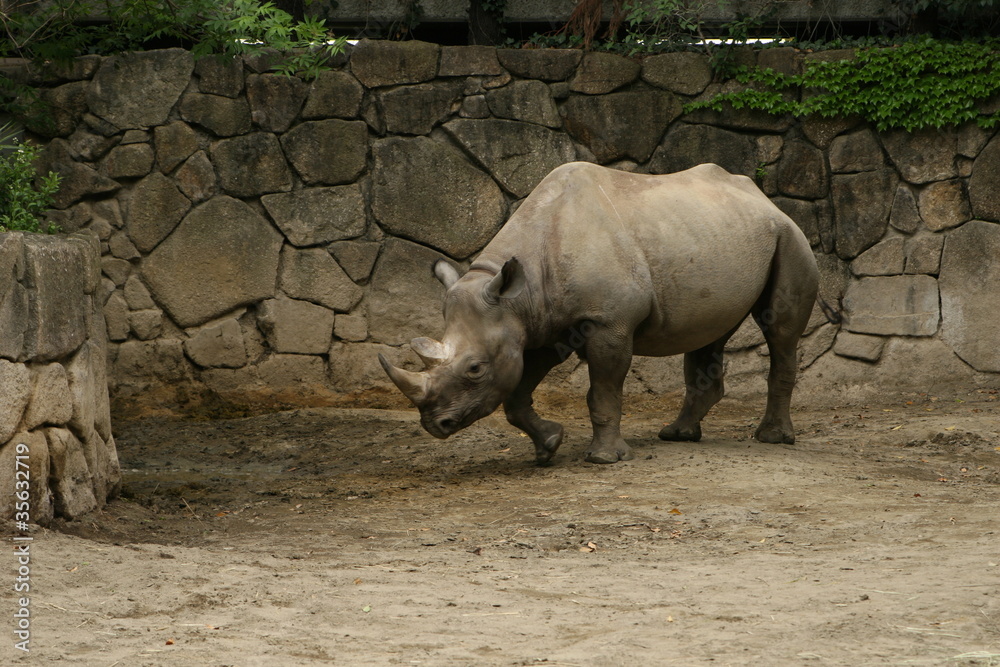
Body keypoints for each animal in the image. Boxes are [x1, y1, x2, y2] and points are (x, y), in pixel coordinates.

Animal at [379, 162, 819, 464]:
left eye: (474, 369)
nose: (435, 425)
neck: (518, 295)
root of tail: (763, 196)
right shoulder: (538, 324)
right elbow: (517, 393)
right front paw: (548, 447)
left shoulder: (608, 321)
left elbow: (603, 389)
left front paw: (604, 458)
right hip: (722, 237)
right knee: (709, 331)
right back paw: (677, 434)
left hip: (789, 237)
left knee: (780, 331)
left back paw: (773, 439)